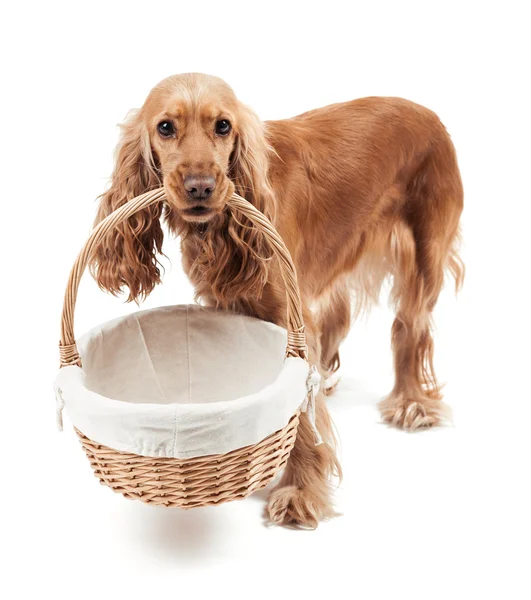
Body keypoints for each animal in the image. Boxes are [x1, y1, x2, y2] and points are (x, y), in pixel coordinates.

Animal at [91, 72, 466, 528]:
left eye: (223, 126)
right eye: (165, 127)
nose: (201, 187)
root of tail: (428, 111)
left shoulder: (290, 315)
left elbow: (300, 409)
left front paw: (300, 492)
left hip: (425, 253)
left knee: (409, 329)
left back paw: (411, 403)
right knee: (340, 317)